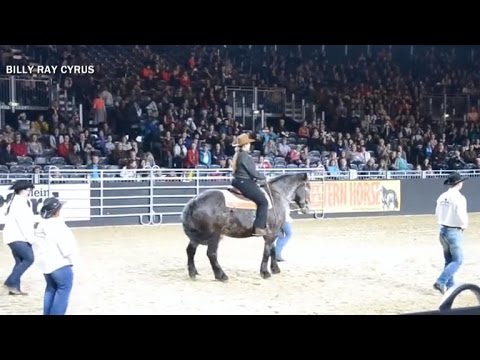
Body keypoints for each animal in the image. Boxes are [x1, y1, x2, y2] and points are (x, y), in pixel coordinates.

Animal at [181, 172, 312, 282]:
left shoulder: (271, 233)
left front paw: (275, 269)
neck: (276, 197)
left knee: (190, 251)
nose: (307, 208)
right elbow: (267, 252)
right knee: (211, 254)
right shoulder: (271, 234)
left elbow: (272, 250)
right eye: (308, 188)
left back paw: (193, 273)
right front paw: (265, 273)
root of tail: (194, 201)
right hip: (215, 235)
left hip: (197, 236)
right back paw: (221, 275)